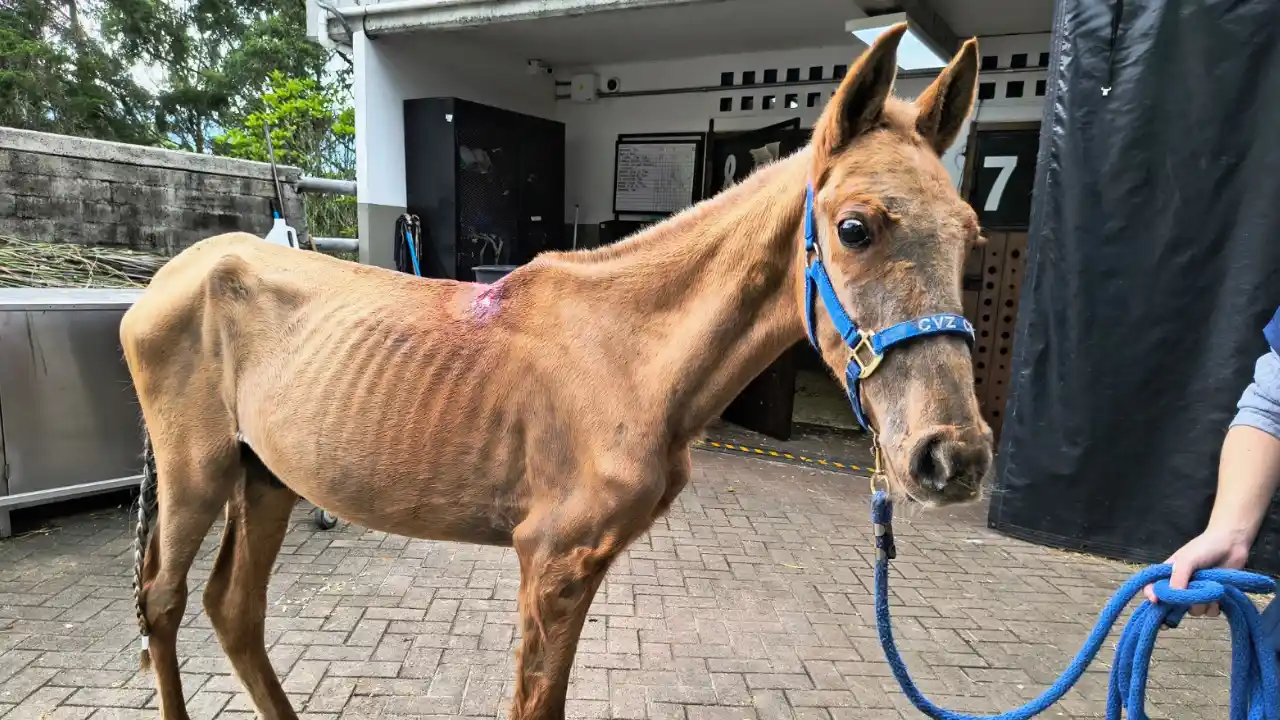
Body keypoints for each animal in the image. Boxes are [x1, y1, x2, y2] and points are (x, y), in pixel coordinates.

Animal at [120, 24, 991, 720]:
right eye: (854, 227)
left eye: (972, 236)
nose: (953, 456)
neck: (628, 354)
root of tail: (172, 276)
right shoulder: (553, 563)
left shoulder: (579, 566)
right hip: (198, 474)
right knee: (162, 602)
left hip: (264, 476)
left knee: (233, 609)